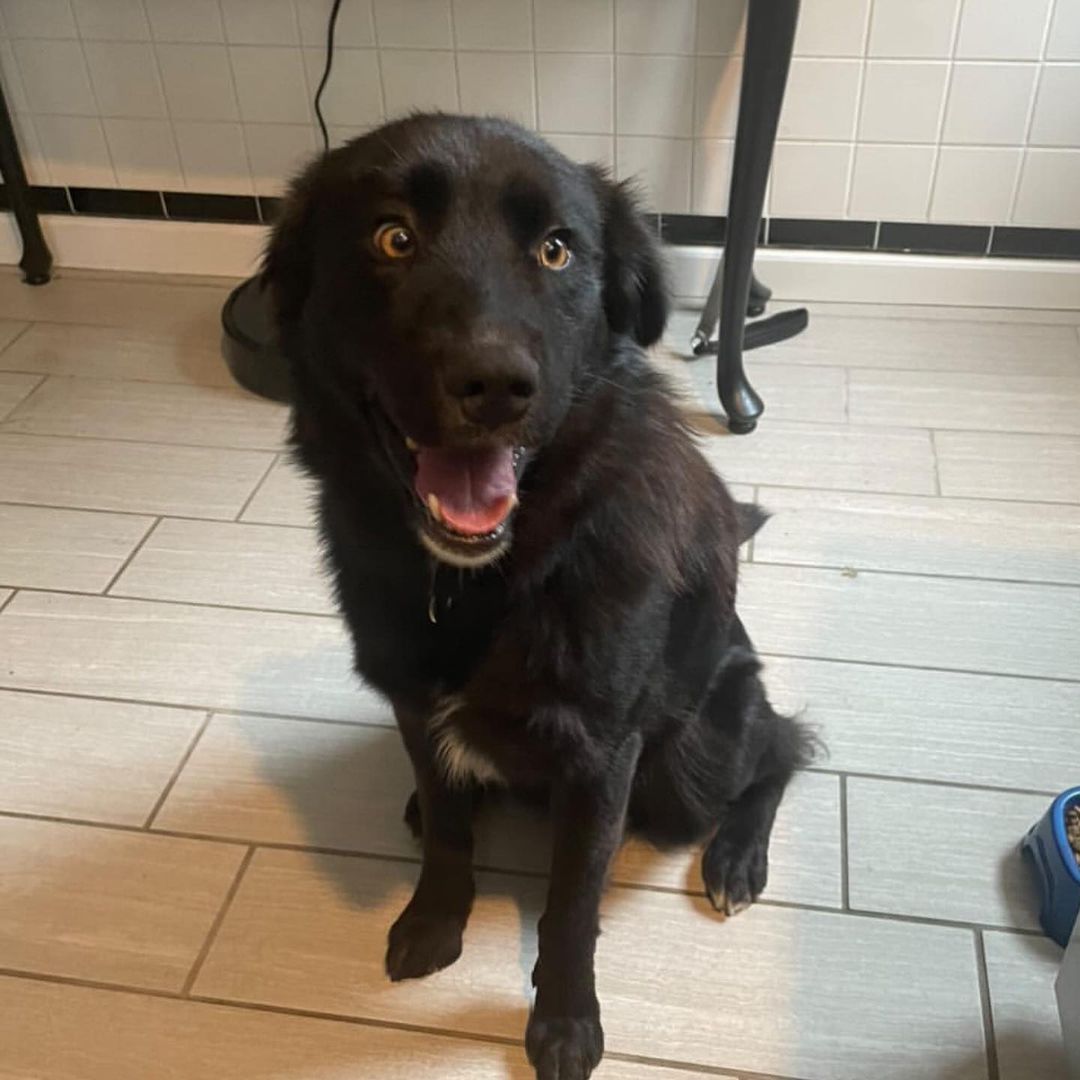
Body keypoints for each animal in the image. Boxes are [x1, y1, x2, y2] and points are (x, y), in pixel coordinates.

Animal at [265, 111, 812, 1080]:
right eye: (393, 236)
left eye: (557, 251)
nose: (494, 386)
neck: (482, 585)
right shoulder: (416, 705)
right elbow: (450, 827)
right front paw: (435, 918)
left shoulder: (602, 755)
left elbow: (571, 905)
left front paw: (563, 1023)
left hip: (692, 760)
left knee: (784, 747)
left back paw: (738, 856)